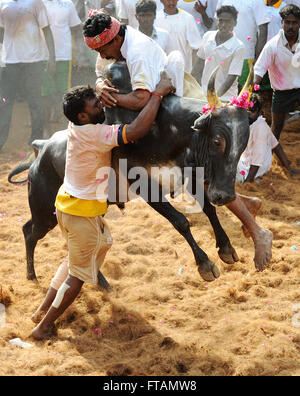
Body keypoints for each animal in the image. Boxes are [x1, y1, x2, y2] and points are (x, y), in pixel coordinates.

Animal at [7, 63, 262, 288]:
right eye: (218, 140)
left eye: (244, 143)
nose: (225, 195)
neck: (168, 131)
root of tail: (41, 148)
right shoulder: (147, 188)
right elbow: (181, 221)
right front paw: (205, 264)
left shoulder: (190, 177)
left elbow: (208, 209)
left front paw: (226, 248)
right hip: (45, 212)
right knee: (29, 232)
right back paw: (32, 276)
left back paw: (100, 283)